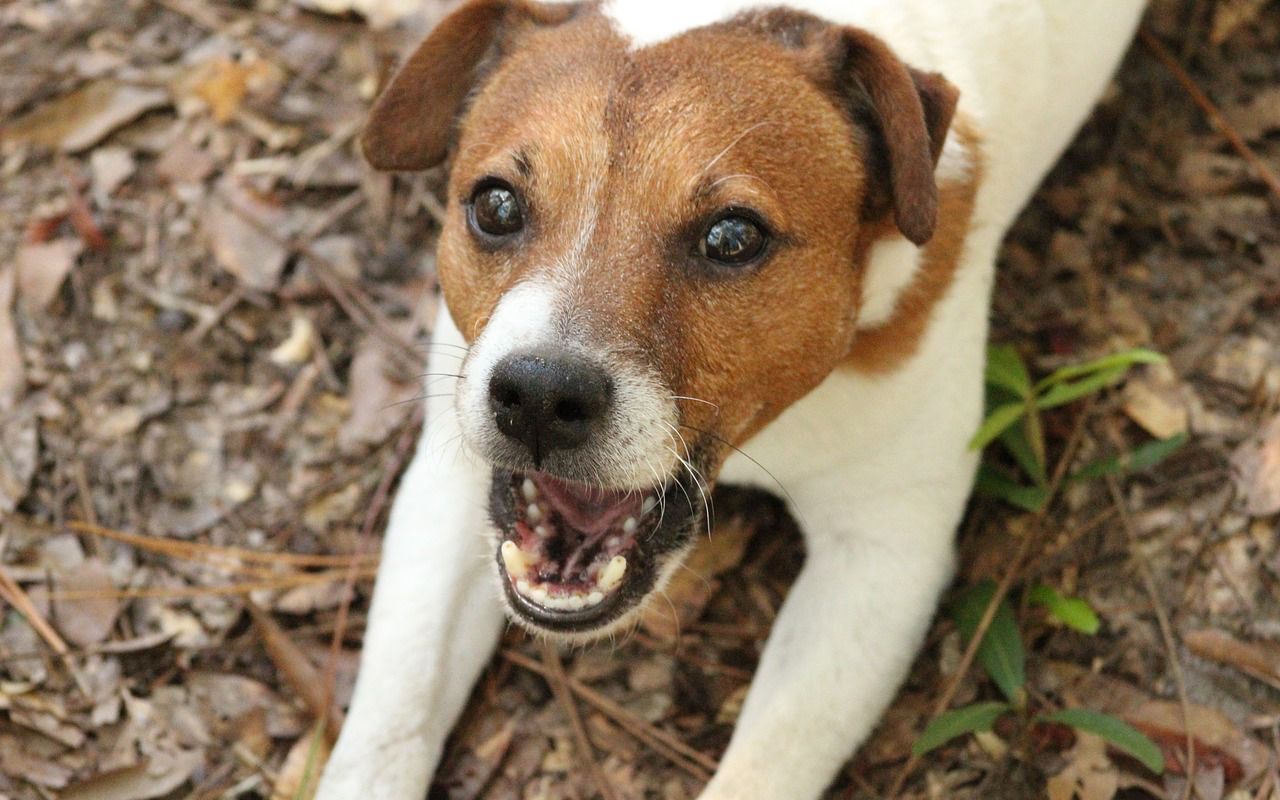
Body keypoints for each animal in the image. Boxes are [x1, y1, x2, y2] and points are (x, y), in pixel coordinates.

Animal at [314, 3, 1146, 793]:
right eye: (495, 206)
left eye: (732, 236)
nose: (540, 395)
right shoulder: (450, 489)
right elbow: (391, 718)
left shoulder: (882, 554)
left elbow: (767, 763)